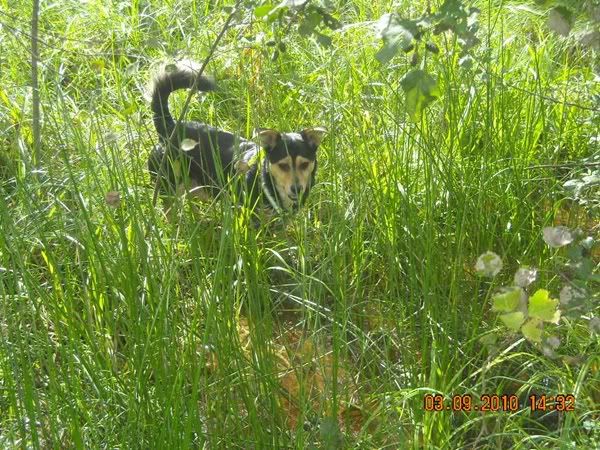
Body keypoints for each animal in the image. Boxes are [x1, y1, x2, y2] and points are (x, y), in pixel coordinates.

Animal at [148, 61, 326, 215]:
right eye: (283, 165)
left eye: (304, 164)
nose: (297, 189)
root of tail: (169, 127)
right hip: (168, 183)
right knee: (169, 210)